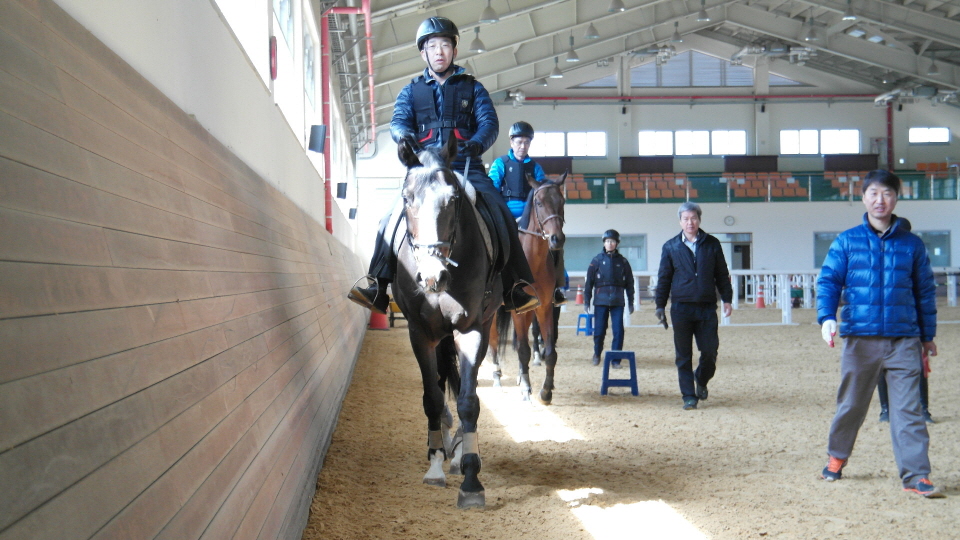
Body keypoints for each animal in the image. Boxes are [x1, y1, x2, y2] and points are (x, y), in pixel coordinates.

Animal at [390, 135, 503, 509]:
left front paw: (470, 477)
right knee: (439, 385)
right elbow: (432, 397)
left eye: (453, 199)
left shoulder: (472, 329)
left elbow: (469, 400)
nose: (432, 277)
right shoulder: (420, 333)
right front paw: (436, 463)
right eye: (407, 198)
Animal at [488, 173, 566, 404]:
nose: (557, 239)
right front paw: (525, 388)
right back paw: (496, 375)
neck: (533, 260)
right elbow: (522, 349)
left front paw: (546, 391)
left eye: (562, 202)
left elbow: (550, 352)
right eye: (539, 203)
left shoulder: (544, 307)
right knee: (493, 339)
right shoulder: (516, 310)